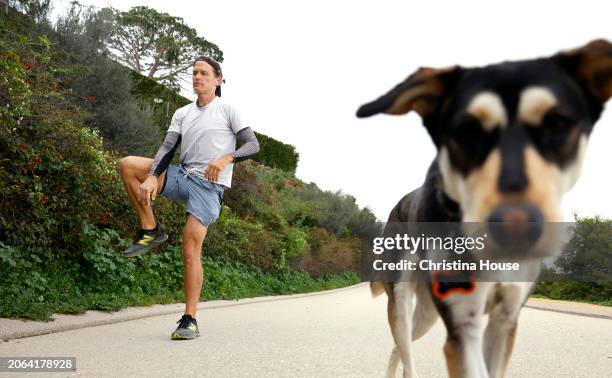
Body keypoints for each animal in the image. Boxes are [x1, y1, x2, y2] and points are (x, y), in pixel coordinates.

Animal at [356, 39, 608, 376]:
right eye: (466, 131)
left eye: (557, 124)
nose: (516, 228)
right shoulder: (464, 326)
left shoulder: (504, 320)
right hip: (400, 302)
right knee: (404, 348)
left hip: (427, 314)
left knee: (399, 347)